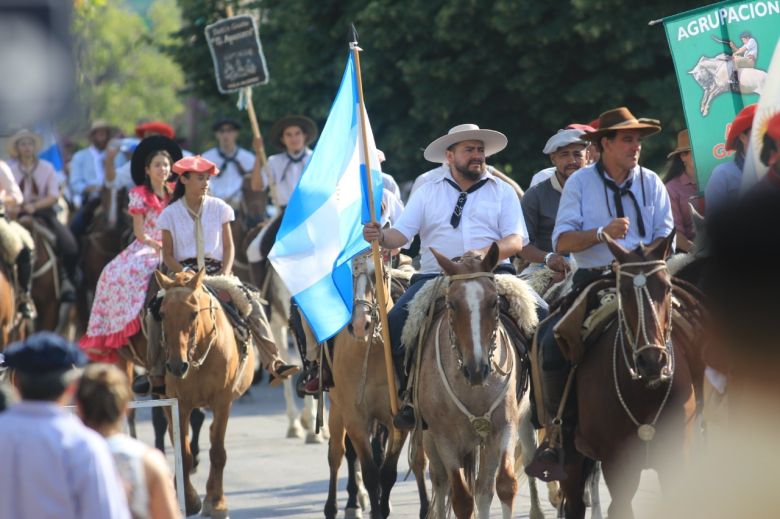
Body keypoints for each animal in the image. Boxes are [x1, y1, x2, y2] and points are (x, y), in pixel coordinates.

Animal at [155, 270, 256, 516]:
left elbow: (217, 452)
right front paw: (190, 500)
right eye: (162, 314)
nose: (176, 366)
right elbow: (184, 452)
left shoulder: (222, 402)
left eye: (193, 313)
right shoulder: (180, 404)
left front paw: (216, 502)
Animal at [326, 252, 430, 519]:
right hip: (336, 408)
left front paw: (382, 508)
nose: (359, 323)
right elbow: (371, 473)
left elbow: (388, 472)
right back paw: (337, 506)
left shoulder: (397, 420)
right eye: (346, 273)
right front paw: (372, 506)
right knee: (336, 454)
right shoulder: (355, 418)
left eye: (378, 274)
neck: (370, 351)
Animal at [420, 245, 524, 519]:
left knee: (484, 488)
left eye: (494, 302)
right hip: (431, 441)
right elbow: (461, 499)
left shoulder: (505, 425)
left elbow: (505, 484)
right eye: (452, 304)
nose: (476, 369)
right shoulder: (445, 438)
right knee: (441, 483)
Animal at [556, 234, 704, 516]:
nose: (652, 361)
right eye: (623, 291)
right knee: (575, 502)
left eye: (667, 288)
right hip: (572, 458)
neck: (645, 390)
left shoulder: (676, 459)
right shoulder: (617, 466)